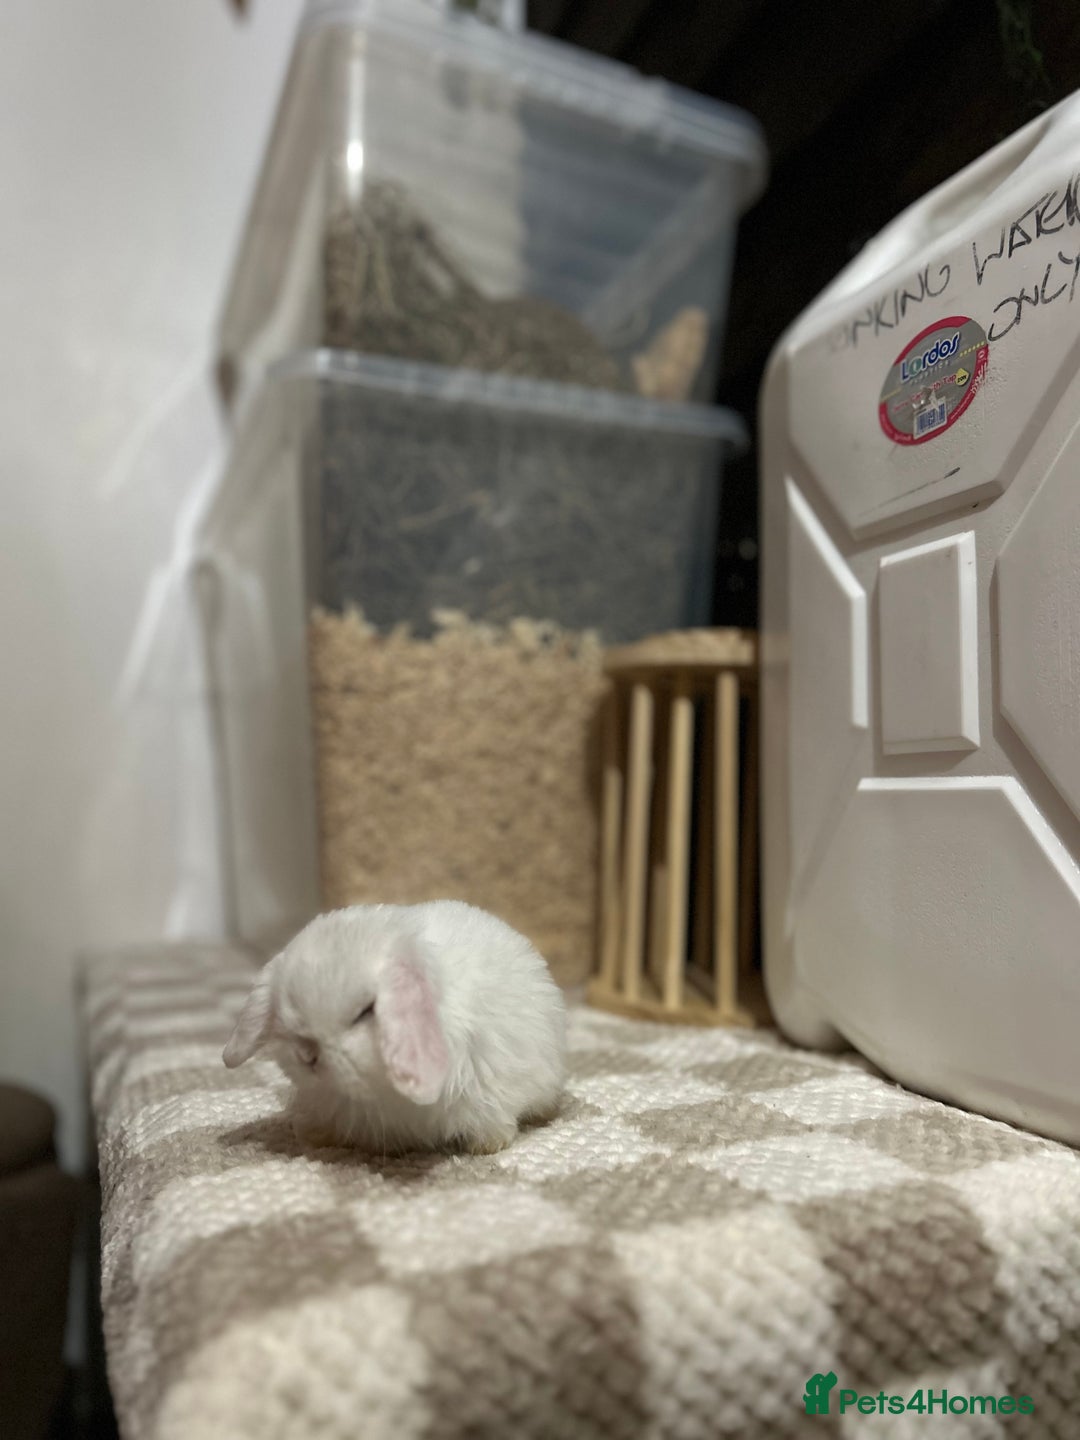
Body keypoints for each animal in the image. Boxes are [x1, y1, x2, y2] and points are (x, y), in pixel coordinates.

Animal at [223, 900, 567, 1155]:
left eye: (366, 1011)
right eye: (285, 1009)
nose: (308, 1054)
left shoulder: (487, 1094)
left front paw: (486, 1147)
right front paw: (313, 1136)